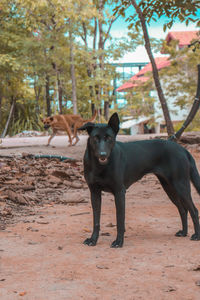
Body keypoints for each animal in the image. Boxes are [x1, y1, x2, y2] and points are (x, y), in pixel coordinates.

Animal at [79, 113, 200, 248]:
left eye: (109, 138)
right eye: (95, 138)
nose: (103, 154)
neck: (100, 166)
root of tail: (182, 149)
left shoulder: (119, 192)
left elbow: (120, 220)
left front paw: (119, 242)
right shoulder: (94, 193)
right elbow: (96, 221)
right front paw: (93, 240)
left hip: (181, 186)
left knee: (194, 210)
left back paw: (196, 235)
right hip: (169, 188)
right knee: (183, 209)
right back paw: (184, 232)